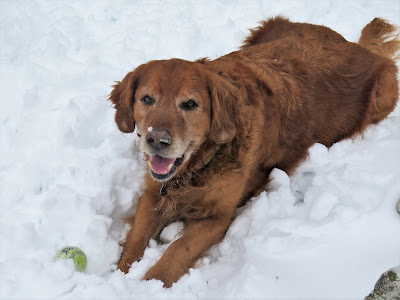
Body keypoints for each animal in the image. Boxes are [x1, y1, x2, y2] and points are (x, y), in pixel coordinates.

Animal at [109, 17, 400, 288]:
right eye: (147, 99)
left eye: (190, 104)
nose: (156, 140)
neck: (198, 167)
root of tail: (355, 45)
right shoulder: (152, 193)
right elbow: (135, 240)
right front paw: (122, 275)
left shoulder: (217, 217)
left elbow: (178, 249)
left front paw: (150, 284)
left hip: (384, 88)